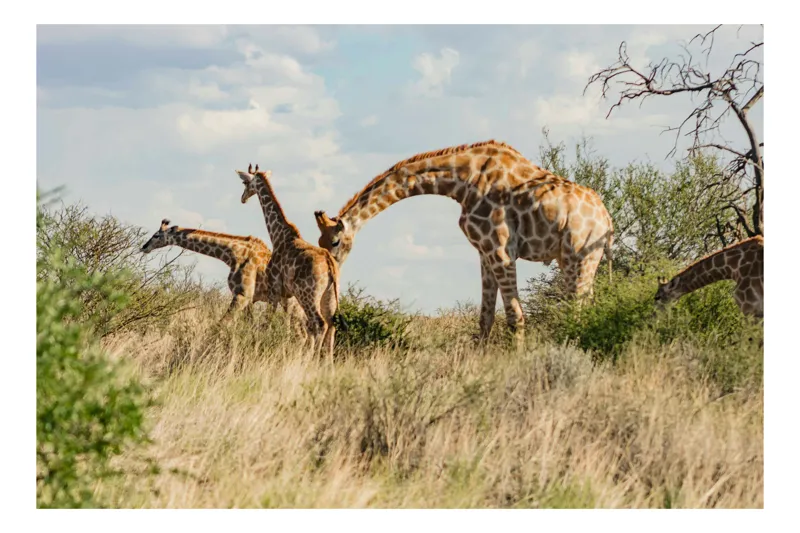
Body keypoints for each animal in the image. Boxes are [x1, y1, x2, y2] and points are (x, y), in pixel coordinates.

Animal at [140, 219, 307, 330]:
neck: (232, 254)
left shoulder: (242, 295)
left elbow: (221, 324)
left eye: (156, 235)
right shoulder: (249, 299)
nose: (144, 247)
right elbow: (248, 325)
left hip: (293, 303)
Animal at [235, 164, 342, 359]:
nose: (243, 198)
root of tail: (331, 267)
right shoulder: (288, 295)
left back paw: (311, 360)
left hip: (309, 295)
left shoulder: (274, 288)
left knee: (319, 324)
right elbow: (288, 325)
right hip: (329, 296)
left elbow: (268, 321)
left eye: (245, 182)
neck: (278, 235)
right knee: (331, 326)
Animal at [313, 140, 614, 349]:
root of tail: (607, 221)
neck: (463, 181)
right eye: (319, 241)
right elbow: (485, 317)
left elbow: (514, 316)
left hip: (579, 255)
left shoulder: (501, 249)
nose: (330, 272)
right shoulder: (484, 251)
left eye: (336, 241)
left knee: (577, 309)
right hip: (578, 259)